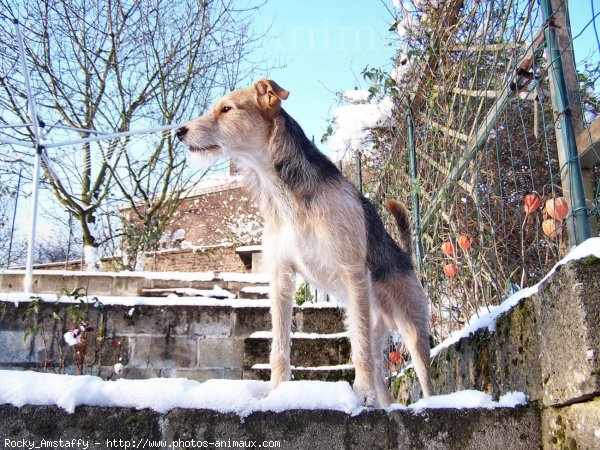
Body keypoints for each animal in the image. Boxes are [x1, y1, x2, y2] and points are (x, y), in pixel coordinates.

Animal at [176, 79, 434, 406]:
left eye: (226, 109)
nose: (179, 131)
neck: (284, 195)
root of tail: (406, 259)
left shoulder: (352, 270)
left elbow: (359, 353)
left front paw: (360, 394)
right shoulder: (281, 278)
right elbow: (279, 348)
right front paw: (275, 392)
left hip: (412, 330)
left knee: (421, 378)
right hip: (369, 324)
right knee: (377, 369)